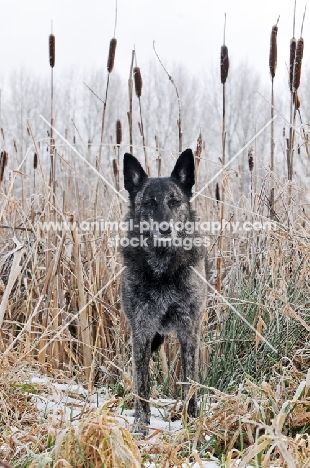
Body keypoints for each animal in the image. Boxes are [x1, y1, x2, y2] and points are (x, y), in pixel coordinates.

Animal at [120, 149, 206, 436]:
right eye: (149, 202)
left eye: (174, 201)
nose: (165, 229)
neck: (162, 269)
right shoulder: (142, 331)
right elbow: (142, 384)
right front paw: (140, 425)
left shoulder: (189, 330)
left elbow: (189, 381)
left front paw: (191, 422)